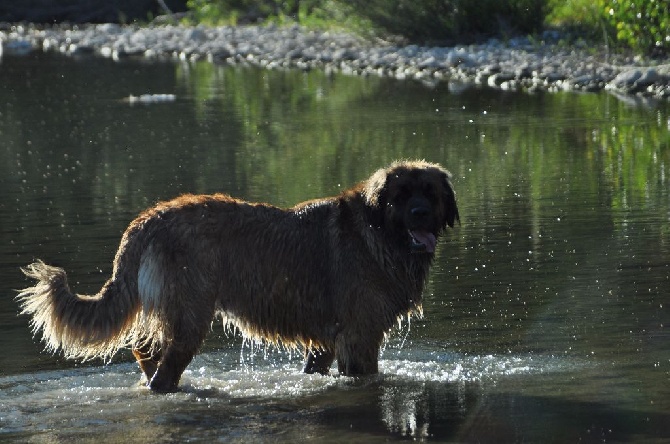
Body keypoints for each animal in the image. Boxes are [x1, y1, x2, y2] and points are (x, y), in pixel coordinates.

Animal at [19, 160, 462, 392]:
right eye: (401, 196)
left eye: (430, 193)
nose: (421, 214)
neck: (378, 232)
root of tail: (147, 220)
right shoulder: (359, 335)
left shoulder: (327, 337)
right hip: (191, 312)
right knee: (164, 365)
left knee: (145, 350)